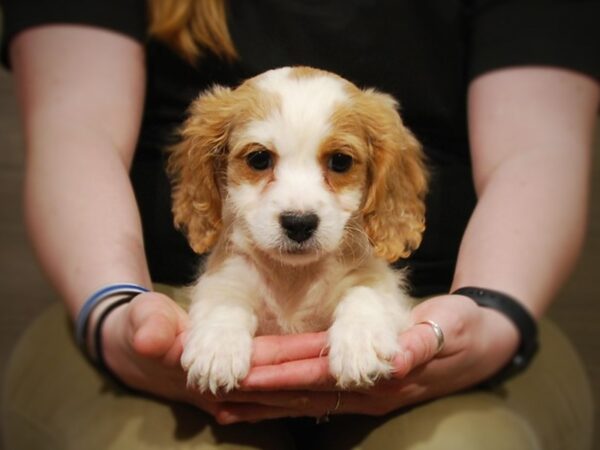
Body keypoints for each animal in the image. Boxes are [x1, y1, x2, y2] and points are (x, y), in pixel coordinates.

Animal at [169, 67, 426, 394]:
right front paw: (217, 347)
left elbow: (364, 292)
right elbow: (224, 299)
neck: (294, 277)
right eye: (259, 159)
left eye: (340, 161)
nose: (299, 223)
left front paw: (361, 341)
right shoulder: (228, 272)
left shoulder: (377, 279)